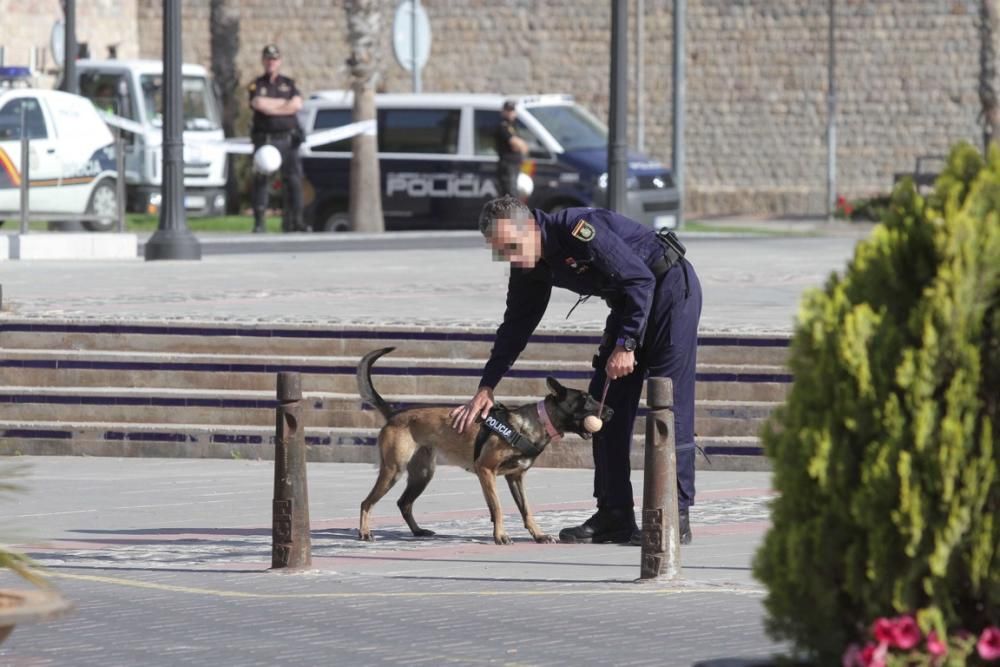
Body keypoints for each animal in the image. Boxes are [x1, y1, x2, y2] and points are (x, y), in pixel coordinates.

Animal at [356, 348, 612, 544]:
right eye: (585, 399)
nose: (610, 411)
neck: (535, 422)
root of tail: (394, 414)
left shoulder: (515, 478)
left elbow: (526, 509)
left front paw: (538, 535)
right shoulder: (486, 470)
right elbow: (497, 507)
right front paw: (501, 535)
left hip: (422, 474)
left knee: (404, 503)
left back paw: (418, 531)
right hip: (394, 471)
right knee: (366, 502)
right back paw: (365, 532)